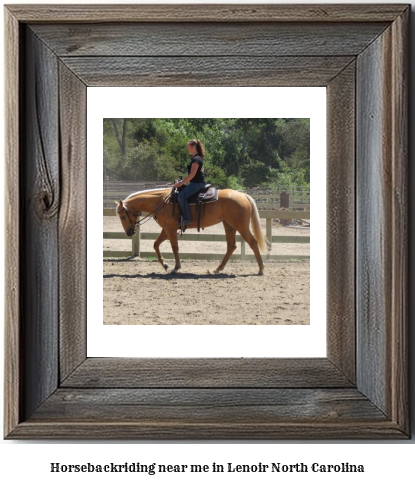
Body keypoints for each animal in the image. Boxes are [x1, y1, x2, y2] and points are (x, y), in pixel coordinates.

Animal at [116, 188, 272, 274]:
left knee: (253, 242)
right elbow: (155, 244)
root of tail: (243, 196)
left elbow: (174, 247)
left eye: (123, 216)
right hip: (229, 226)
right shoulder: (167, 228)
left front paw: (176, 267)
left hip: (241, 226)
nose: (129, 232)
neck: (161, 201)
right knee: (231, 246)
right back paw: (218, 268)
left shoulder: (170, 228)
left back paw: (261, 268)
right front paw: (165, 265)